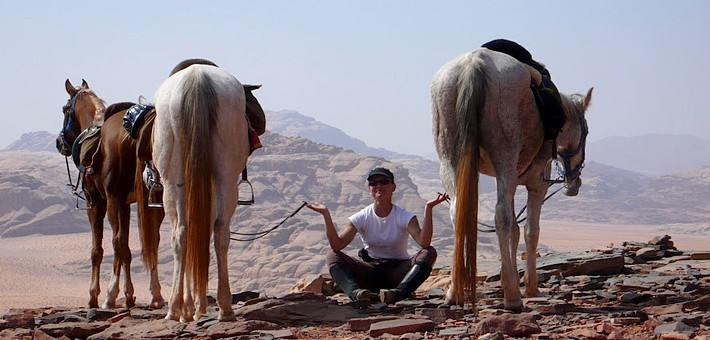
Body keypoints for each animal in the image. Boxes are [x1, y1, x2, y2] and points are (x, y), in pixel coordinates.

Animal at [55, 79, 165, 308]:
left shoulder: (96, 202)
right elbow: (128, 250)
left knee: (117, 241)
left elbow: (98, 249)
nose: (59, 143)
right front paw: (129, 294)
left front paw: (94, 295)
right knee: (152, 240)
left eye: (64, 109)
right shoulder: (126, 204)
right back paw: (156, 294)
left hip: (112, 200)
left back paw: (111, 294)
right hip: (154, 199)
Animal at [152, 59, 249, 322]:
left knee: (182, 232)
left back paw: (176, 308)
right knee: (219, 231)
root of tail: (197, 77)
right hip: (225, 175)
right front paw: (195, 305)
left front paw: (191, 307)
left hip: (172, 180)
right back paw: (224, 307)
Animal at [434, 47, 596, 310]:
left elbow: (514, 230)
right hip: (505, 157)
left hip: (451, 161)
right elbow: (530, 231)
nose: (574, 184)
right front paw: (530, 286)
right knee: (500, 216)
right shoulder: (536, 183)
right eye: (587, 131)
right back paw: (512, 296)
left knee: (459, 214)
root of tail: (474, 62)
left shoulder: (507, 180)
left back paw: (454, 292)